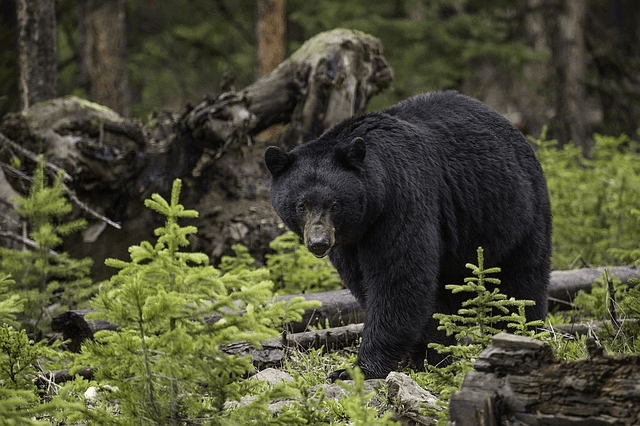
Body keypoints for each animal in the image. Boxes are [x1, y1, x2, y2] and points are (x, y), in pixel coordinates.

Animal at [264, 90, 551, 380]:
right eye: (301, 205)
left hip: (516, 214)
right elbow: (366, 282)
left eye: (334, 205)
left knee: (521, 282)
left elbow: (399, 278)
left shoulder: (401, 201)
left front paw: (358, 368)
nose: (319, 243)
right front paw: (429, 354)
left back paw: (521, 333)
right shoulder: (350, 241)